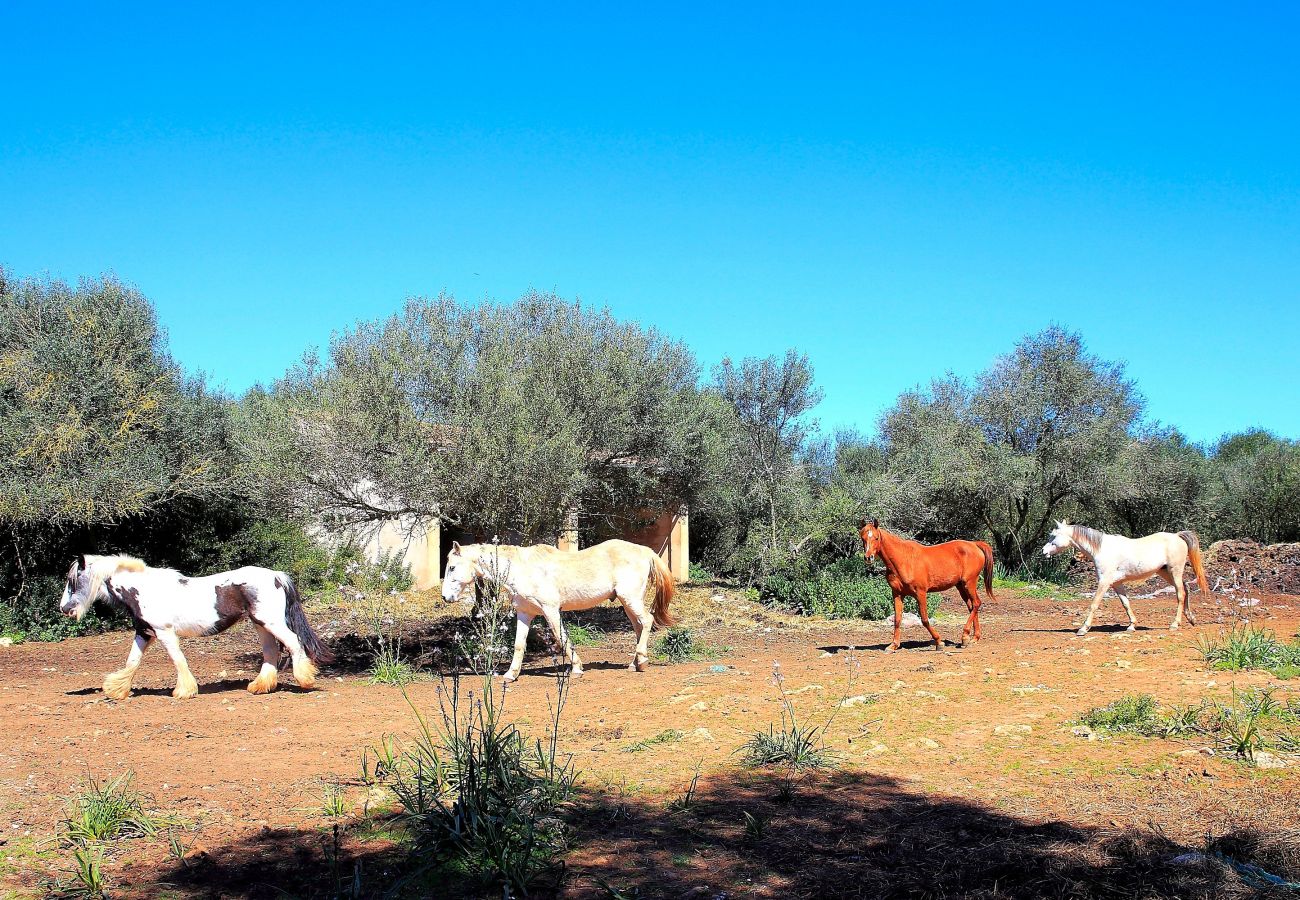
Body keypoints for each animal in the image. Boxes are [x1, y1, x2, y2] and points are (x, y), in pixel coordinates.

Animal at [60, 551, 335, 697]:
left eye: (73, 581)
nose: (64, 609)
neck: (143, 589)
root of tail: (276, 576)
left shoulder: (164, 633)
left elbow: (178, 660)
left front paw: (184, 691)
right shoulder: (144, 632)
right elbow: (132, 662)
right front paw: (117, 689)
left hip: (271, 622)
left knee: (294, 643)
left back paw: (305, 680)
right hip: (260, 623)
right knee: (270, 652)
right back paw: (259, 686)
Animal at [441, 541, 676, 681]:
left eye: (452, 567)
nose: (445, 597)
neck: (522, 569)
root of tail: (645, 551)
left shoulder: (550, 610)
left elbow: (561, 637)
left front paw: (577, 669)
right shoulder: (525, 613)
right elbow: (519, 645)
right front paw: (511, 674)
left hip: (630, 598)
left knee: (647, 621)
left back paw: (642, 661)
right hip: (628, 602)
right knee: (639, 627)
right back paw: (635, 664)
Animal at [1040, 517, 1211, 637]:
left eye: (1053, 536)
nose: (1043, 552)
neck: (1101, 549)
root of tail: (1178, 536)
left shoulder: (1104, 582)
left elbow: (1094, 604)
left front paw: (1083, 628)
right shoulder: (1117, 583)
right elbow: (1126, 604)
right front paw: (1132, 626)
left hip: (1174, 571)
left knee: (1180, 593)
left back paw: (1175, 624)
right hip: (1165, 572)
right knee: (1186, 588)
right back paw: (1191, 619)